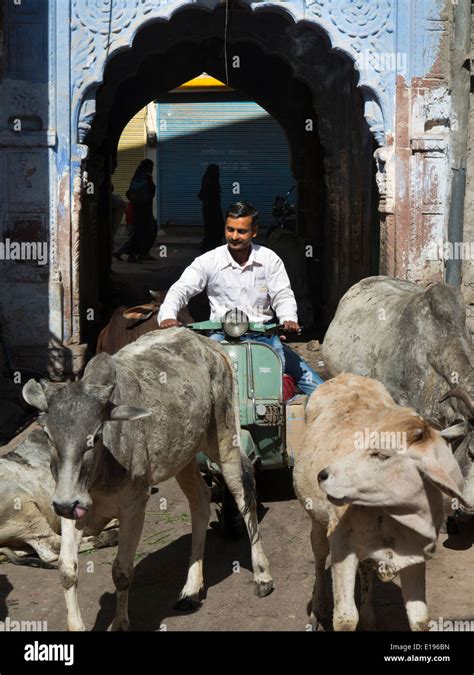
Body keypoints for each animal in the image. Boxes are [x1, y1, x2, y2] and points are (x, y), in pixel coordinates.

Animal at [23, 330, 274, 632]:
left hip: (225, 439)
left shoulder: (134, 506)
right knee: (200, 501)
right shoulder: (70, 505)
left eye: (96, 436)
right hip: (184, 457)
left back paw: (262, 575)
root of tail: (208, 344)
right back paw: (191, 589)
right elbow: (67, 569)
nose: (66, 504)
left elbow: (121, 570)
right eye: (48, 435)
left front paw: (120, 623)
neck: (101, 474)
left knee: (244, 494)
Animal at [294, 372, 468, 632]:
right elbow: (345, 619)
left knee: (366, 568)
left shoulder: (415, 555)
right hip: (317, 522)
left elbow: (420, 618)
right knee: (318, 555)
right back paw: (317, 609)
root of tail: (345, 376)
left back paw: (368, 618)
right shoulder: (341, 546)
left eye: (382, 454)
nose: (323, 475)